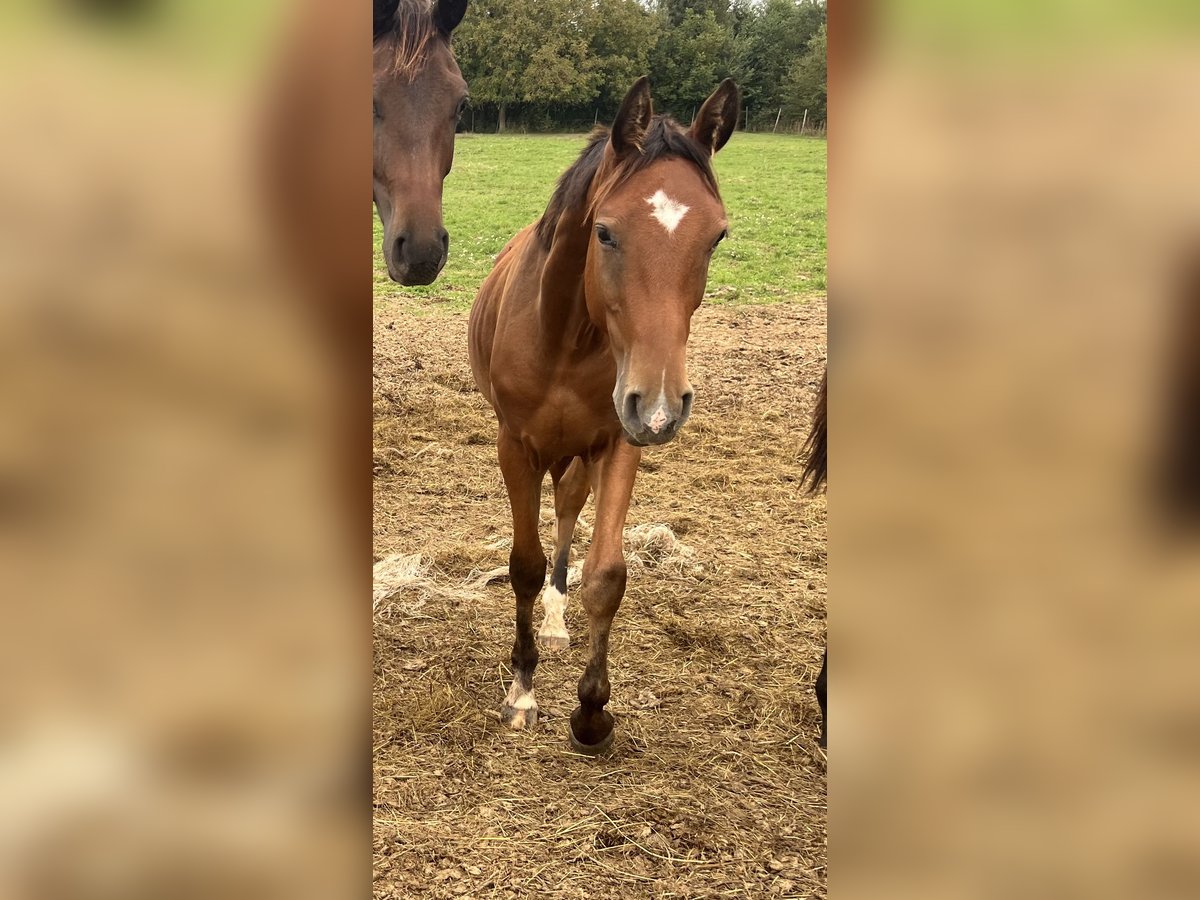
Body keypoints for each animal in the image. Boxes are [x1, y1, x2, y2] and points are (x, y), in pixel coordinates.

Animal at [468, 75, 739, 753]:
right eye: (606, 233)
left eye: (717, 236)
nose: (663, 404)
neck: (566, 335)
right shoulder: (516, 446)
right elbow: (524, 566)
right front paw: (522, 691)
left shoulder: (620, 441)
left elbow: (606, 575)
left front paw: (591, 711)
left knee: (568, 509)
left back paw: (558, 624)